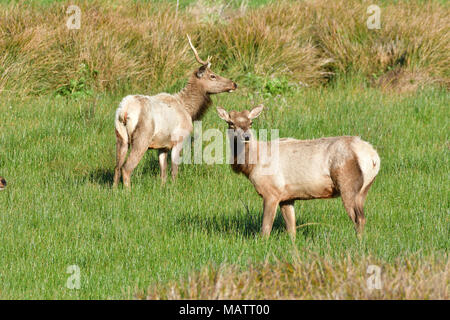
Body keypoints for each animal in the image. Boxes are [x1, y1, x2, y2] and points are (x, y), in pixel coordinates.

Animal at [114, 34, 237, 188]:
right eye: (212, 76)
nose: (234, 84)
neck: (188, 109)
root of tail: (124, 112)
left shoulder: (162, 146)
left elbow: (163, 172)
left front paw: (163, 187)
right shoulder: (179, 139)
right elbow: (174, 170)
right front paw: (174, 187)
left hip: (120, 137)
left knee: (117, 167)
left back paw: (114, 189)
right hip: (142, 138)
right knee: (126, 168)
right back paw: (128, 191)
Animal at [217, 105, 380, 238]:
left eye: (250, 122)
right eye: (231, 123)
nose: (246, 136)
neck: (252, 165)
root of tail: (374, 158)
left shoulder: (271, 191)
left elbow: (266, 228)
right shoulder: (286, 196)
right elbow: (291, 228)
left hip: (348, 183)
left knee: (358, 218)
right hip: (364, 189)